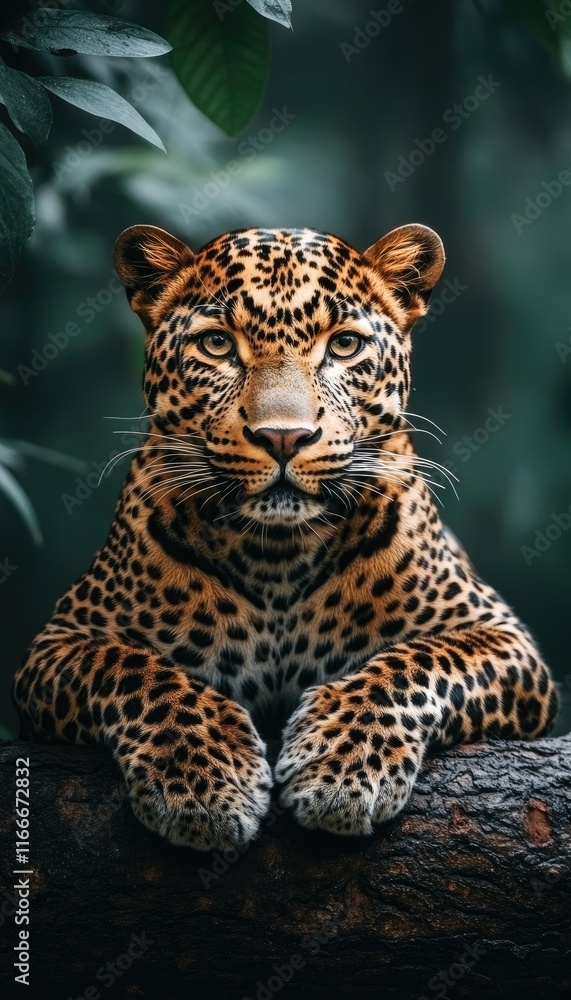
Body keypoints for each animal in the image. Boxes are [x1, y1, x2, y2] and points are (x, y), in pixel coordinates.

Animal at [13, 221, 558, 851]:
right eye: (217, 345)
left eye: (344, 346)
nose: (283, 437)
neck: (277, 554)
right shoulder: (59, 642)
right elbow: (132, 668)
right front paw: (203, 777)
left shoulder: (500, 635)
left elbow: (418, 663)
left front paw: (342, 767)